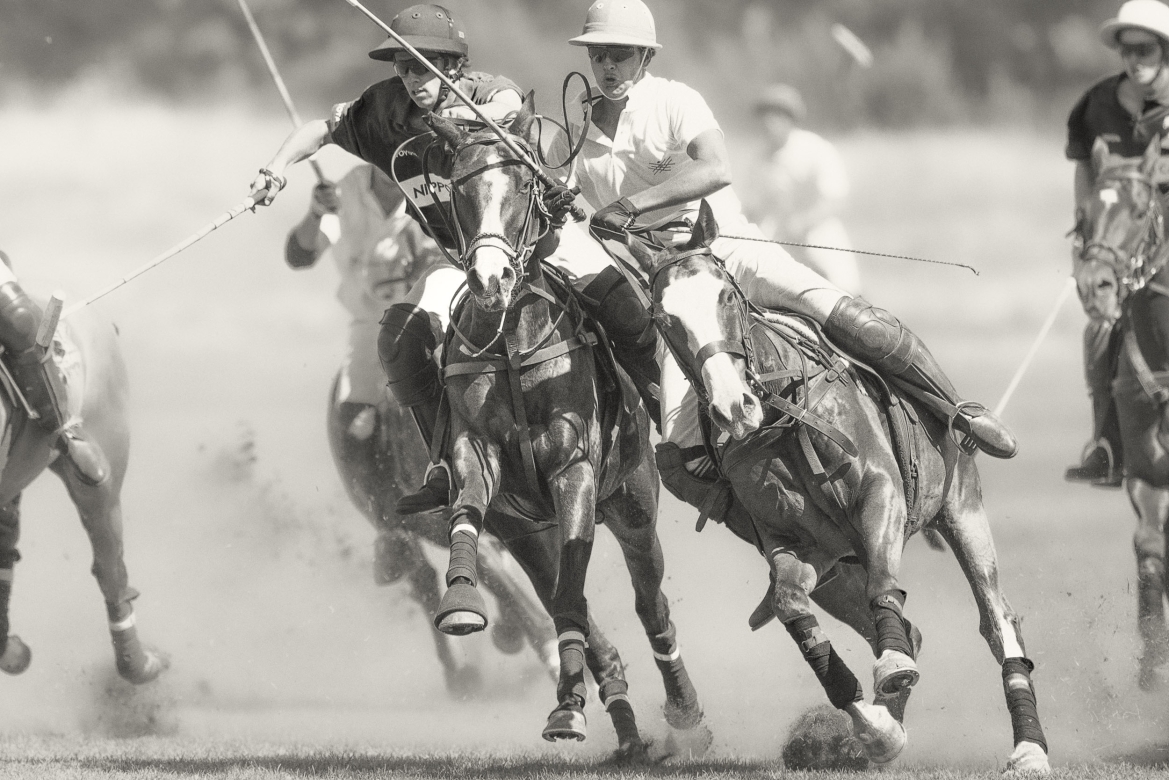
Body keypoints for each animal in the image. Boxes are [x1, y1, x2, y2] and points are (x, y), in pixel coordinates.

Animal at [425, 100, 706, 753]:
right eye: (459, 190)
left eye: (525, 186)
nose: (491, 281)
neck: (511, 341)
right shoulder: (477, 456)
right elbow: (467, 511)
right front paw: (460, 600)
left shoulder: (573, 470)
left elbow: (579, 590)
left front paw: (570, 706)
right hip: (529, 531)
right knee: (559, 601)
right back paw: (621, 729)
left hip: (633, 503)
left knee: (650, 605)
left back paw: (681, 710)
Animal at [626, 203, 1056, 776]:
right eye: (664, 319)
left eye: (725, 295)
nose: (734, 407)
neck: (782, 415)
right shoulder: (794, 543)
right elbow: (790, 604)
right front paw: (876, 730)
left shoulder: (882, 494)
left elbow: (885, 588)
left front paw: (890, 671)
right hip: (838, 566)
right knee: (905, 625)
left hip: (962, 507)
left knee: (996, 620)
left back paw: (1029, 747)